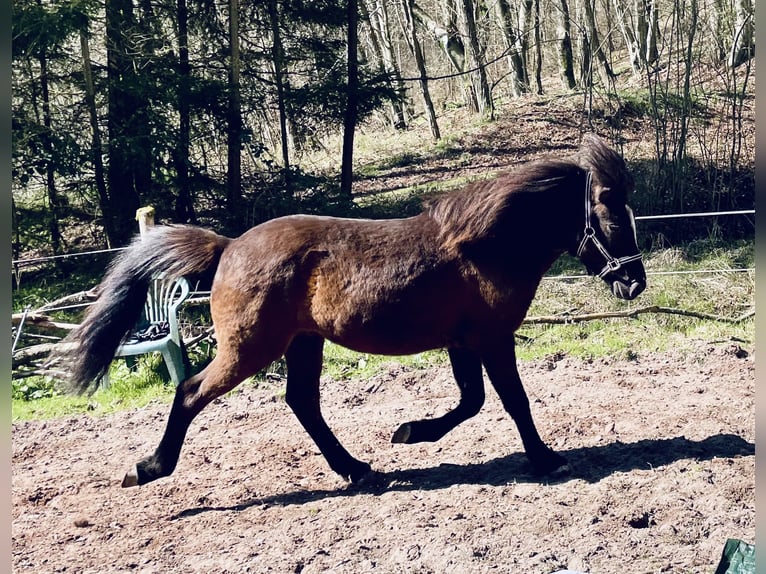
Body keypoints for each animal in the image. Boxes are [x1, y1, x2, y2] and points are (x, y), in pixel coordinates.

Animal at [51, 133, 646, 489]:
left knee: (302, 403)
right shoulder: (491, 338)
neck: (484, 248)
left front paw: (410, 432)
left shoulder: (462, 341)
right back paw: (150, 468)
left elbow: (471, 402)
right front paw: (546, 459)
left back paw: (358, 469)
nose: (634, 282)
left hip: (302, 342)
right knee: (192, 392)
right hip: (251, 348)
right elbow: (512, 402)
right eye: (612, 218)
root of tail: (228, 246)